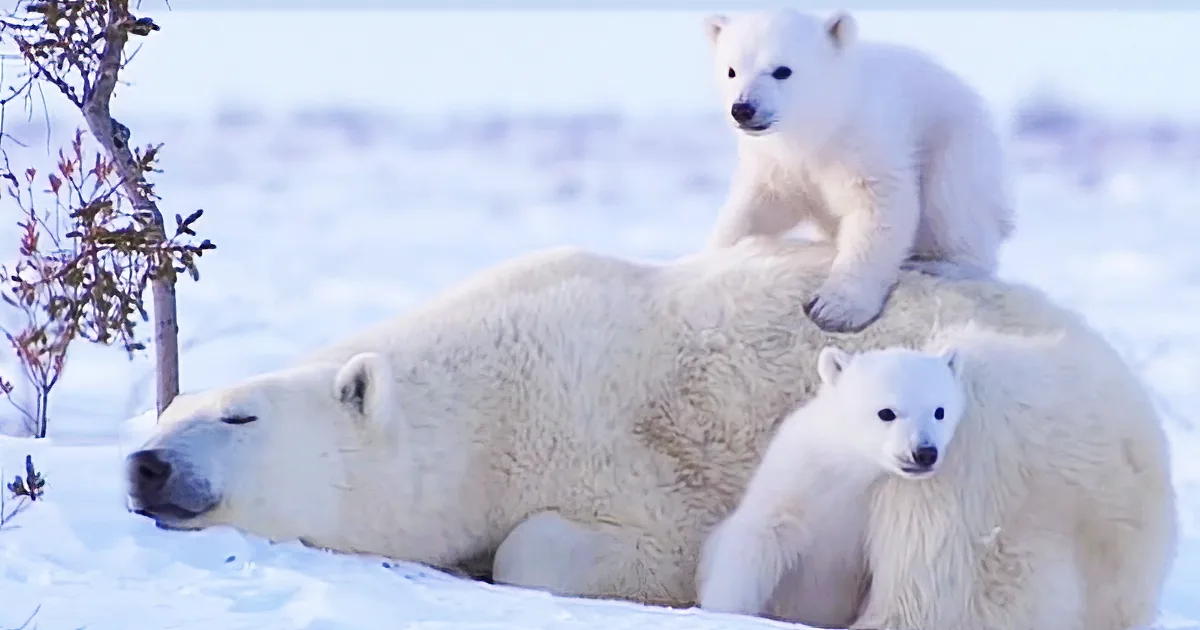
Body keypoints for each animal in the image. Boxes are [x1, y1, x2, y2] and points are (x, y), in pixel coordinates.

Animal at [695, 344, 966, 628]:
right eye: (886, 412)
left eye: (939, 411)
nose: (924, 453)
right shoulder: (792, 479)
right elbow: (755, 541)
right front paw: (722, 612)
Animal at [703, 8, 1016, 333]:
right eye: (731, 70)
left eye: (782, 70)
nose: (743, 108)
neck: (821, 127)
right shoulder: (775, 162)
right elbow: (757, 208)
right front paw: (718, 251)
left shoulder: (864, 141)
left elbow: (878, 210)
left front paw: (833, 309)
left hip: (960, 148)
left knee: (953, 204)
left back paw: (939, 263)